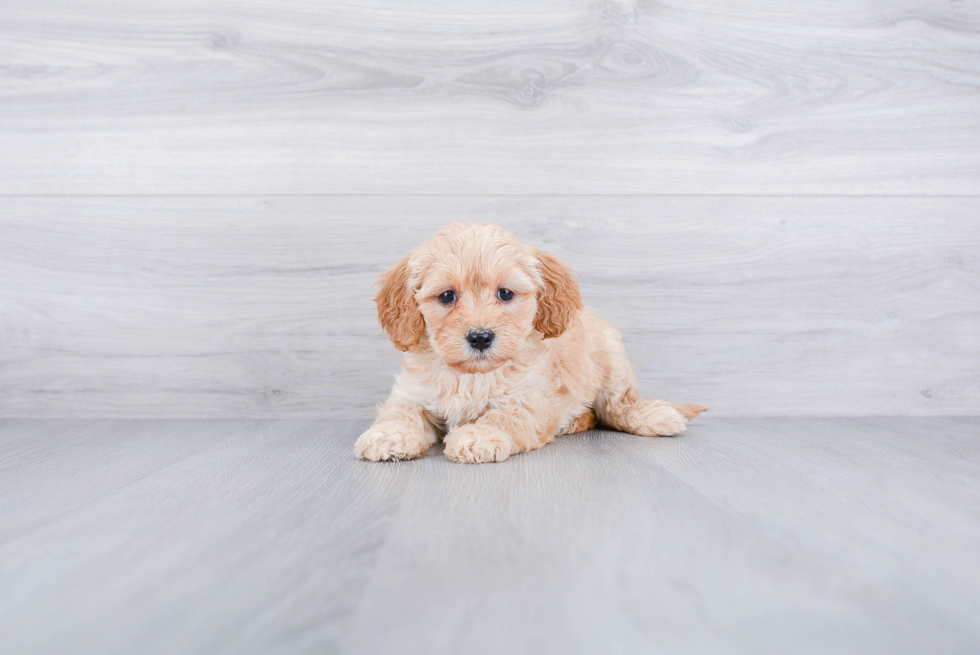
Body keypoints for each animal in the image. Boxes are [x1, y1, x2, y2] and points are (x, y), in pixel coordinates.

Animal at [352, 223, 704, 464]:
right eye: (447, 296)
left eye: (505, 293)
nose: (480, 337)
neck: (472, 376)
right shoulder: (411, 394)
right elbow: (401, 413)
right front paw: (388, 435)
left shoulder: (528, 402)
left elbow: (501, 417)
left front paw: (478, 435)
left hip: (612, 361)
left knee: (618, 405)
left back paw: (653, 416)